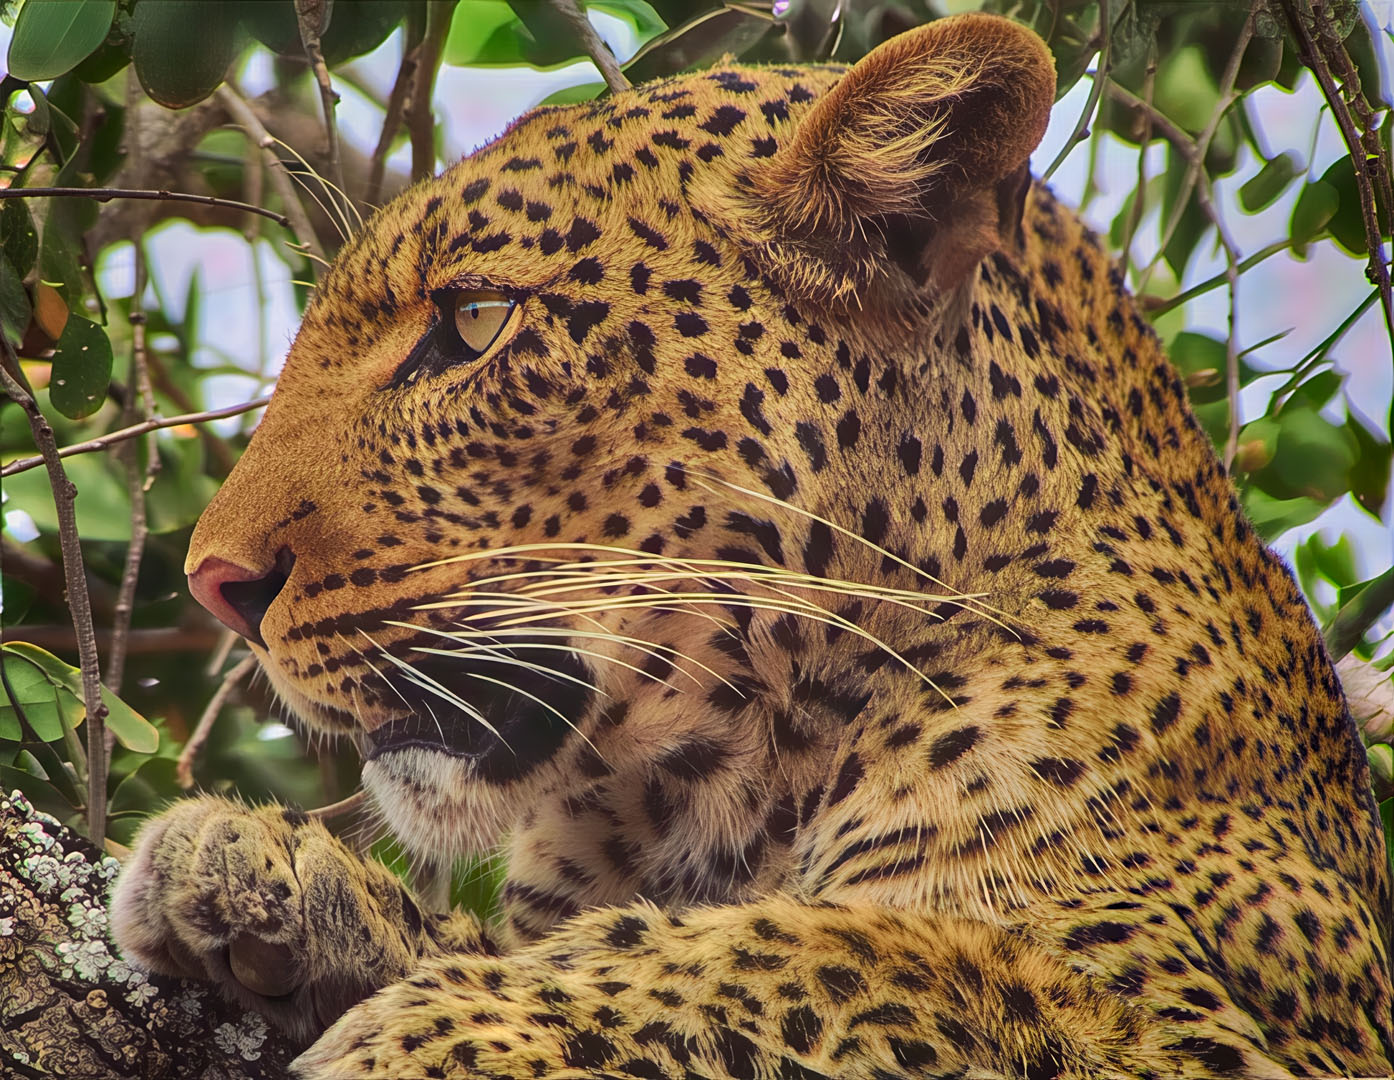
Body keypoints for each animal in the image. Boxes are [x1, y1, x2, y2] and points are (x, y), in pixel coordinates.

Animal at [110, 13, 1393, 1079]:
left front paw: (436, 1025)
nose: (217, 585)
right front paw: (266, 877)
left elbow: (863, 957)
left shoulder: (1227, 1026)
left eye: (474, 322)